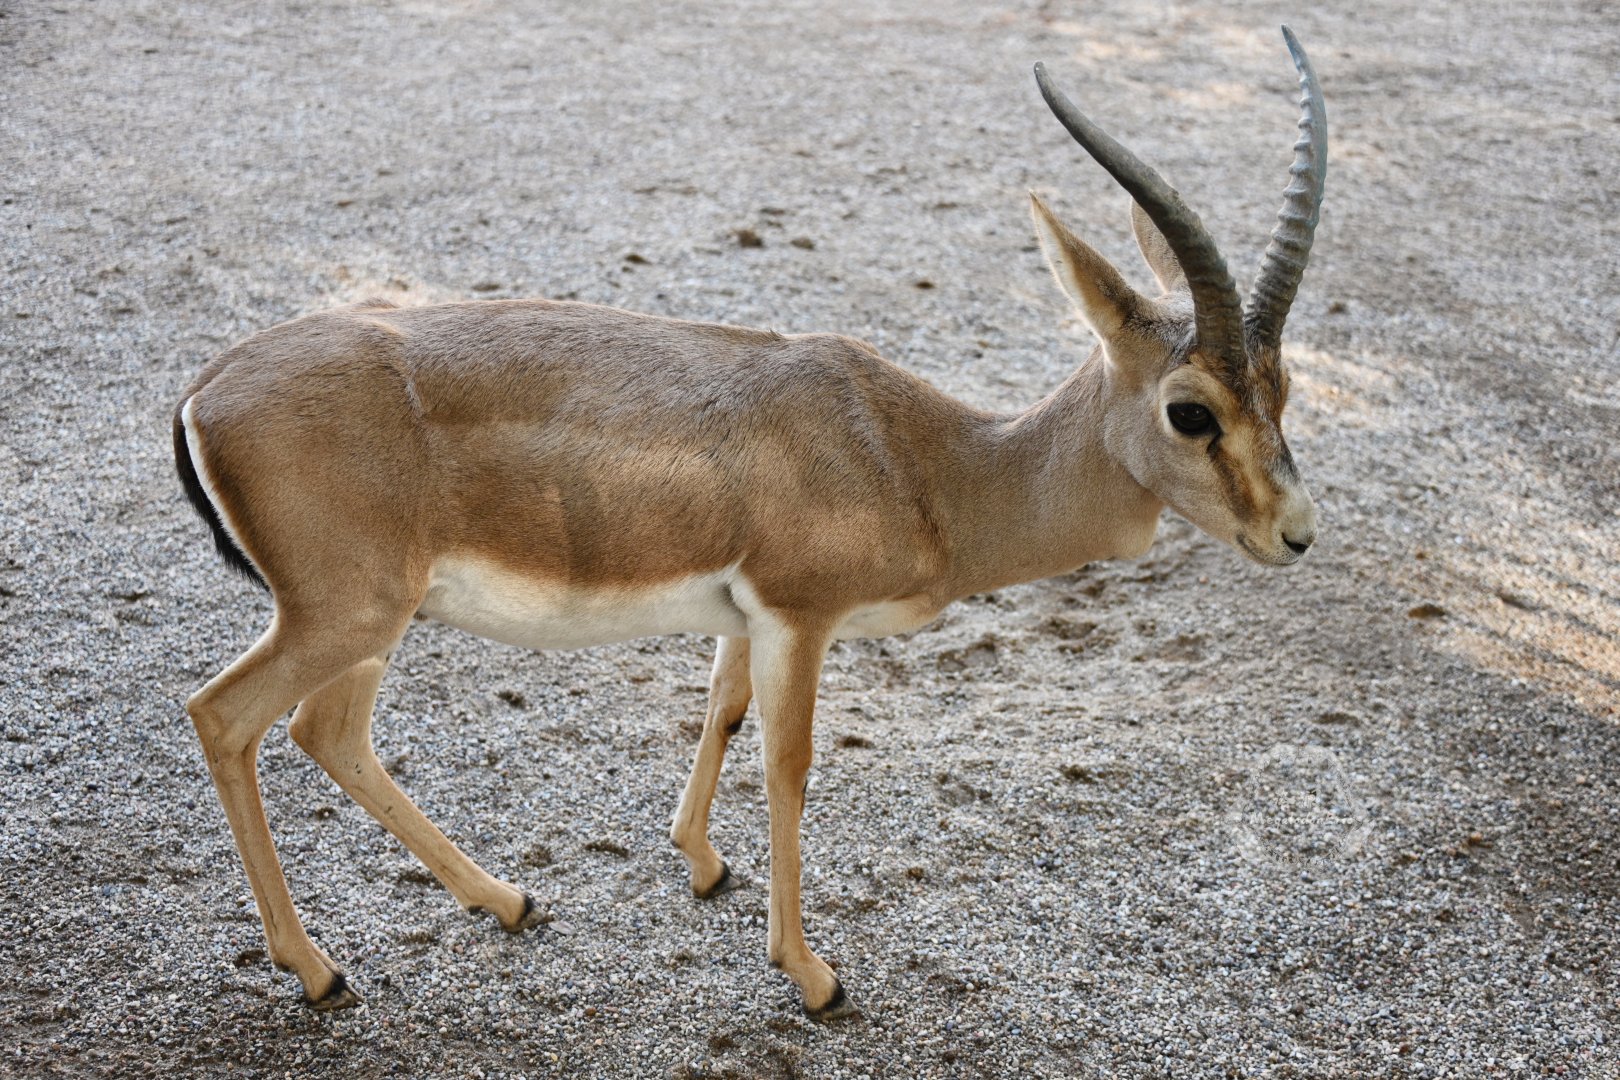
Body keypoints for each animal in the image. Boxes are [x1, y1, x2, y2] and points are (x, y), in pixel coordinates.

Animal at [173, 28, 1326, 1019]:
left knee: (327, 731)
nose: (1297, 533)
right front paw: (813, 978)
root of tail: (205, 389)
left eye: (1283, 385)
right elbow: (791, 763)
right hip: (348, 615)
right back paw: (319, 970)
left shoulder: (743, 616)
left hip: (376, 622)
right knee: (225, 716)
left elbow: (721, 713)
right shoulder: (800, 616)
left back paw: (506, 900)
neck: (920, 462)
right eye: (1191, 410)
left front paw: (700, 865)